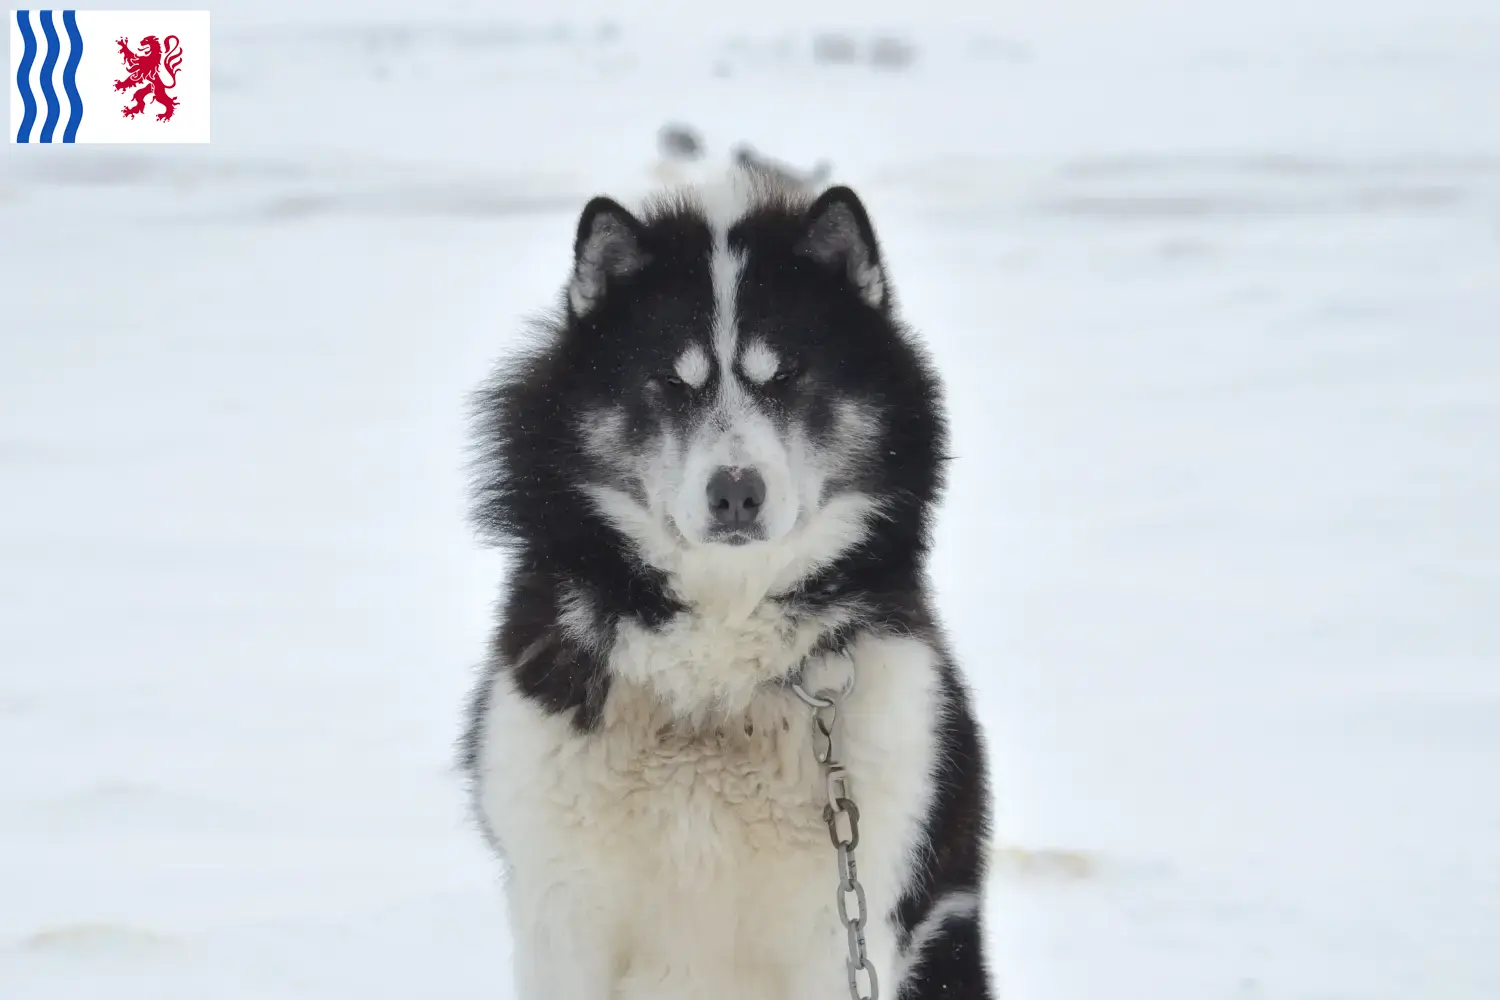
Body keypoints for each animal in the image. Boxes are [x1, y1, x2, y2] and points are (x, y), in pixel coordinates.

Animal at [456, 166, 996, 1000]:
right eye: (670, 384)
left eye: (788, 378)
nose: (735, 493)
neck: (715, 680)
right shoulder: (561, 916)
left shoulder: (845, 916)